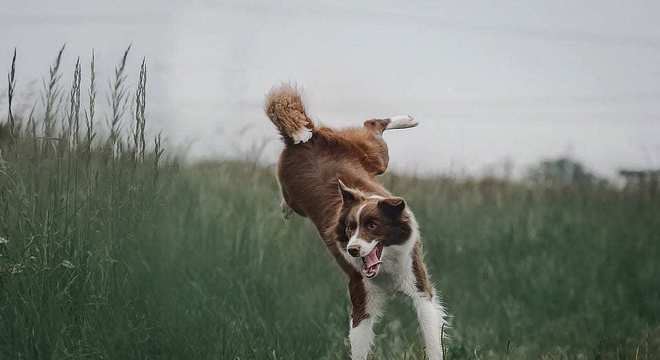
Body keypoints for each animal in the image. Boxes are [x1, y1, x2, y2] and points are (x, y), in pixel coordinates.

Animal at [264, 85, 448, 360]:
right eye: (350, 228)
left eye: (373, 226)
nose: (352, 249)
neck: (386, 267)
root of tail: (306, 138)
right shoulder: (361, 293)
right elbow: (360, 339)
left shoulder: (418, 284)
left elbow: (431, 334)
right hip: (307, 183)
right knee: (371, 126)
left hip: (374, 157)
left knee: (373, 126)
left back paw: (408, 119)